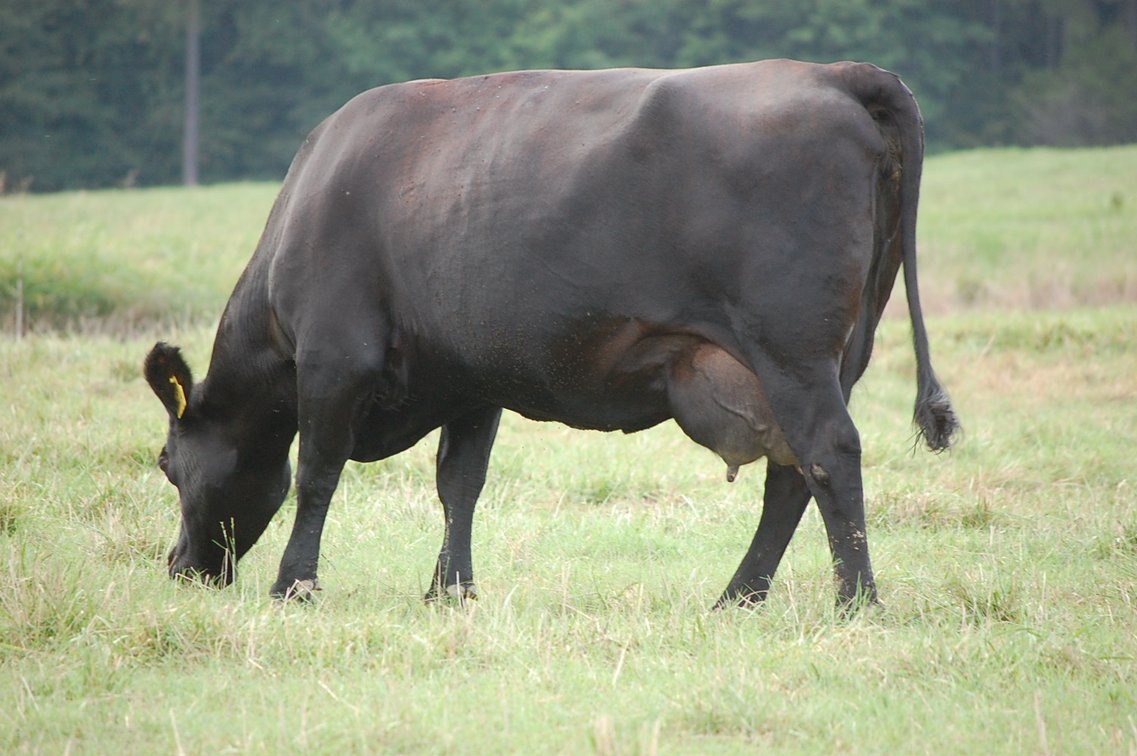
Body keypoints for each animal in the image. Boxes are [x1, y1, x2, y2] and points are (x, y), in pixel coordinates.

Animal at [145, 59, 957, 609]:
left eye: (166, 463)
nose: (179, 568)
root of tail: (834, 74)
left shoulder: (333, 355)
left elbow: (316, 471)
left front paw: (294, 585)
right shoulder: (469, 374)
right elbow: (459, 482)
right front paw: (451, 591)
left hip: (791, 351)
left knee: (828, 454)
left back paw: (854, 600)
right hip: (836, 354)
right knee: (792, 476)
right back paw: (738, 598)